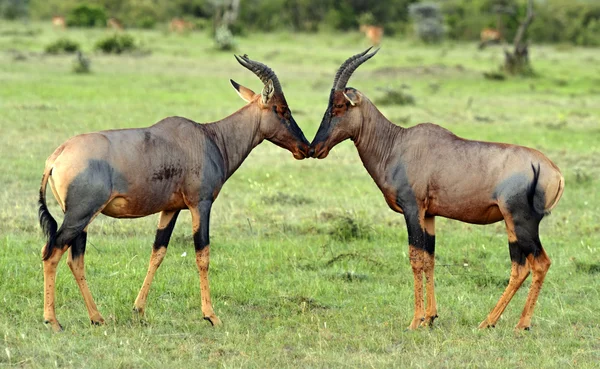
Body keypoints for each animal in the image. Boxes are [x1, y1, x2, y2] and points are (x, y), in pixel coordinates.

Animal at [38, 53, 310, 330]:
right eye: (282, 109)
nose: (306, 148)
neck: (209, 137)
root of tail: (56, 156)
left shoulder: (171, 209)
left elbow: (157, 253)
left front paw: (139, 309)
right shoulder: (200, 204)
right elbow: (203, 255)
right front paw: (211, 315)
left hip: (81, 217)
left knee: (75, 260)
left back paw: (97, 317)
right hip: (80, 214)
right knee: (51, 253)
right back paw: (53, 321)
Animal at [310, 48, 564, 328]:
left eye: (339, 105)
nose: (314, 148)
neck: (398, 144)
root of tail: (554, 172)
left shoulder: (412, 210)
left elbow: (415, 258)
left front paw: (415, 321)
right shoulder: (429, 215)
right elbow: (429, 259)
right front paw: (430, 317)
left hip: (522, 221)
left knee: (539, 263)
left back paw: (520, 325)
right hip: (512, 225)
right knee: (520, 267)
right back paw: (488, 322)